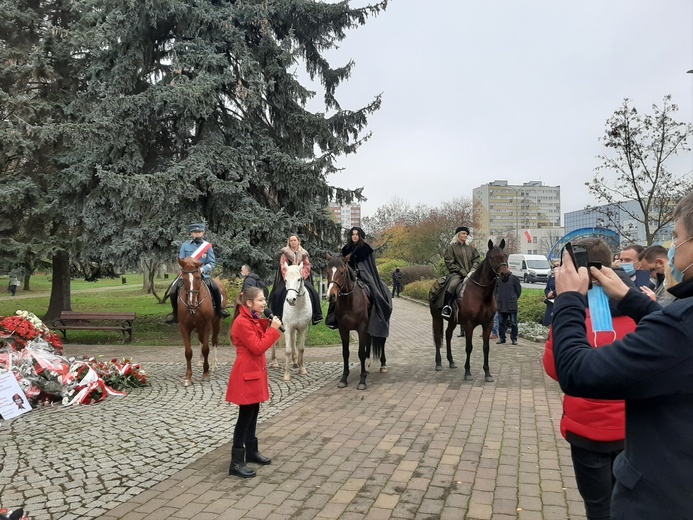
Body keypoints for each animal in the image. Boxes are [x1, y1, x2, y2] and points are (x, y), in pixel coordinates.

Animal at [176, 256, 227, 386]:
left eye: (198, 277)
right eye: (184, 278)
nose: (191, 302)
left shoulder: (206, 325)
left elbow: (206, 349)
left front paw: (206, 374)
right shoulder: (184, 327)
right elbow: (188, 352)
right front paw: (188, 377)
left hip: (216, 323)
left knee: (214, 341)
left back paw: (213, 365)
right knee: (200, 340)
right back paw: (200, 361)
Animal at [324, 252, 384, 390]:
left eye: (342, 272)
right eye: (327, 272)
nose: (331, 296)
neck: (349, 302)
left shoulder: (361, 327)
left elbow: (361, 352)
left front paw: (362, 381)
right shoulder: (343, 329)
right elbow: (345, 353)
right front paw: (344, 378)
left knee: (382, 342)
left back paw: (383, 365)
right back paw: (367, 365)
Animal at [430, 240, 510, 382]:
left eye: (505, 255)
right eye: (492, 257)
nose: (505, 274)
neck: (482, 295)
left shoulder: (488, 324)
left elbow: (486, 348)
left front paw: (487, 373)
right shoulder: (469, 325)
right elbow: (469, 347)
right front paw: (467, 372)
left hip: (452, 321)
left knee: (448, 335)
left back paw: (451, 361)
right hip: (437, 318)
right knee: (438, 339)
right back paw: (438, 363)